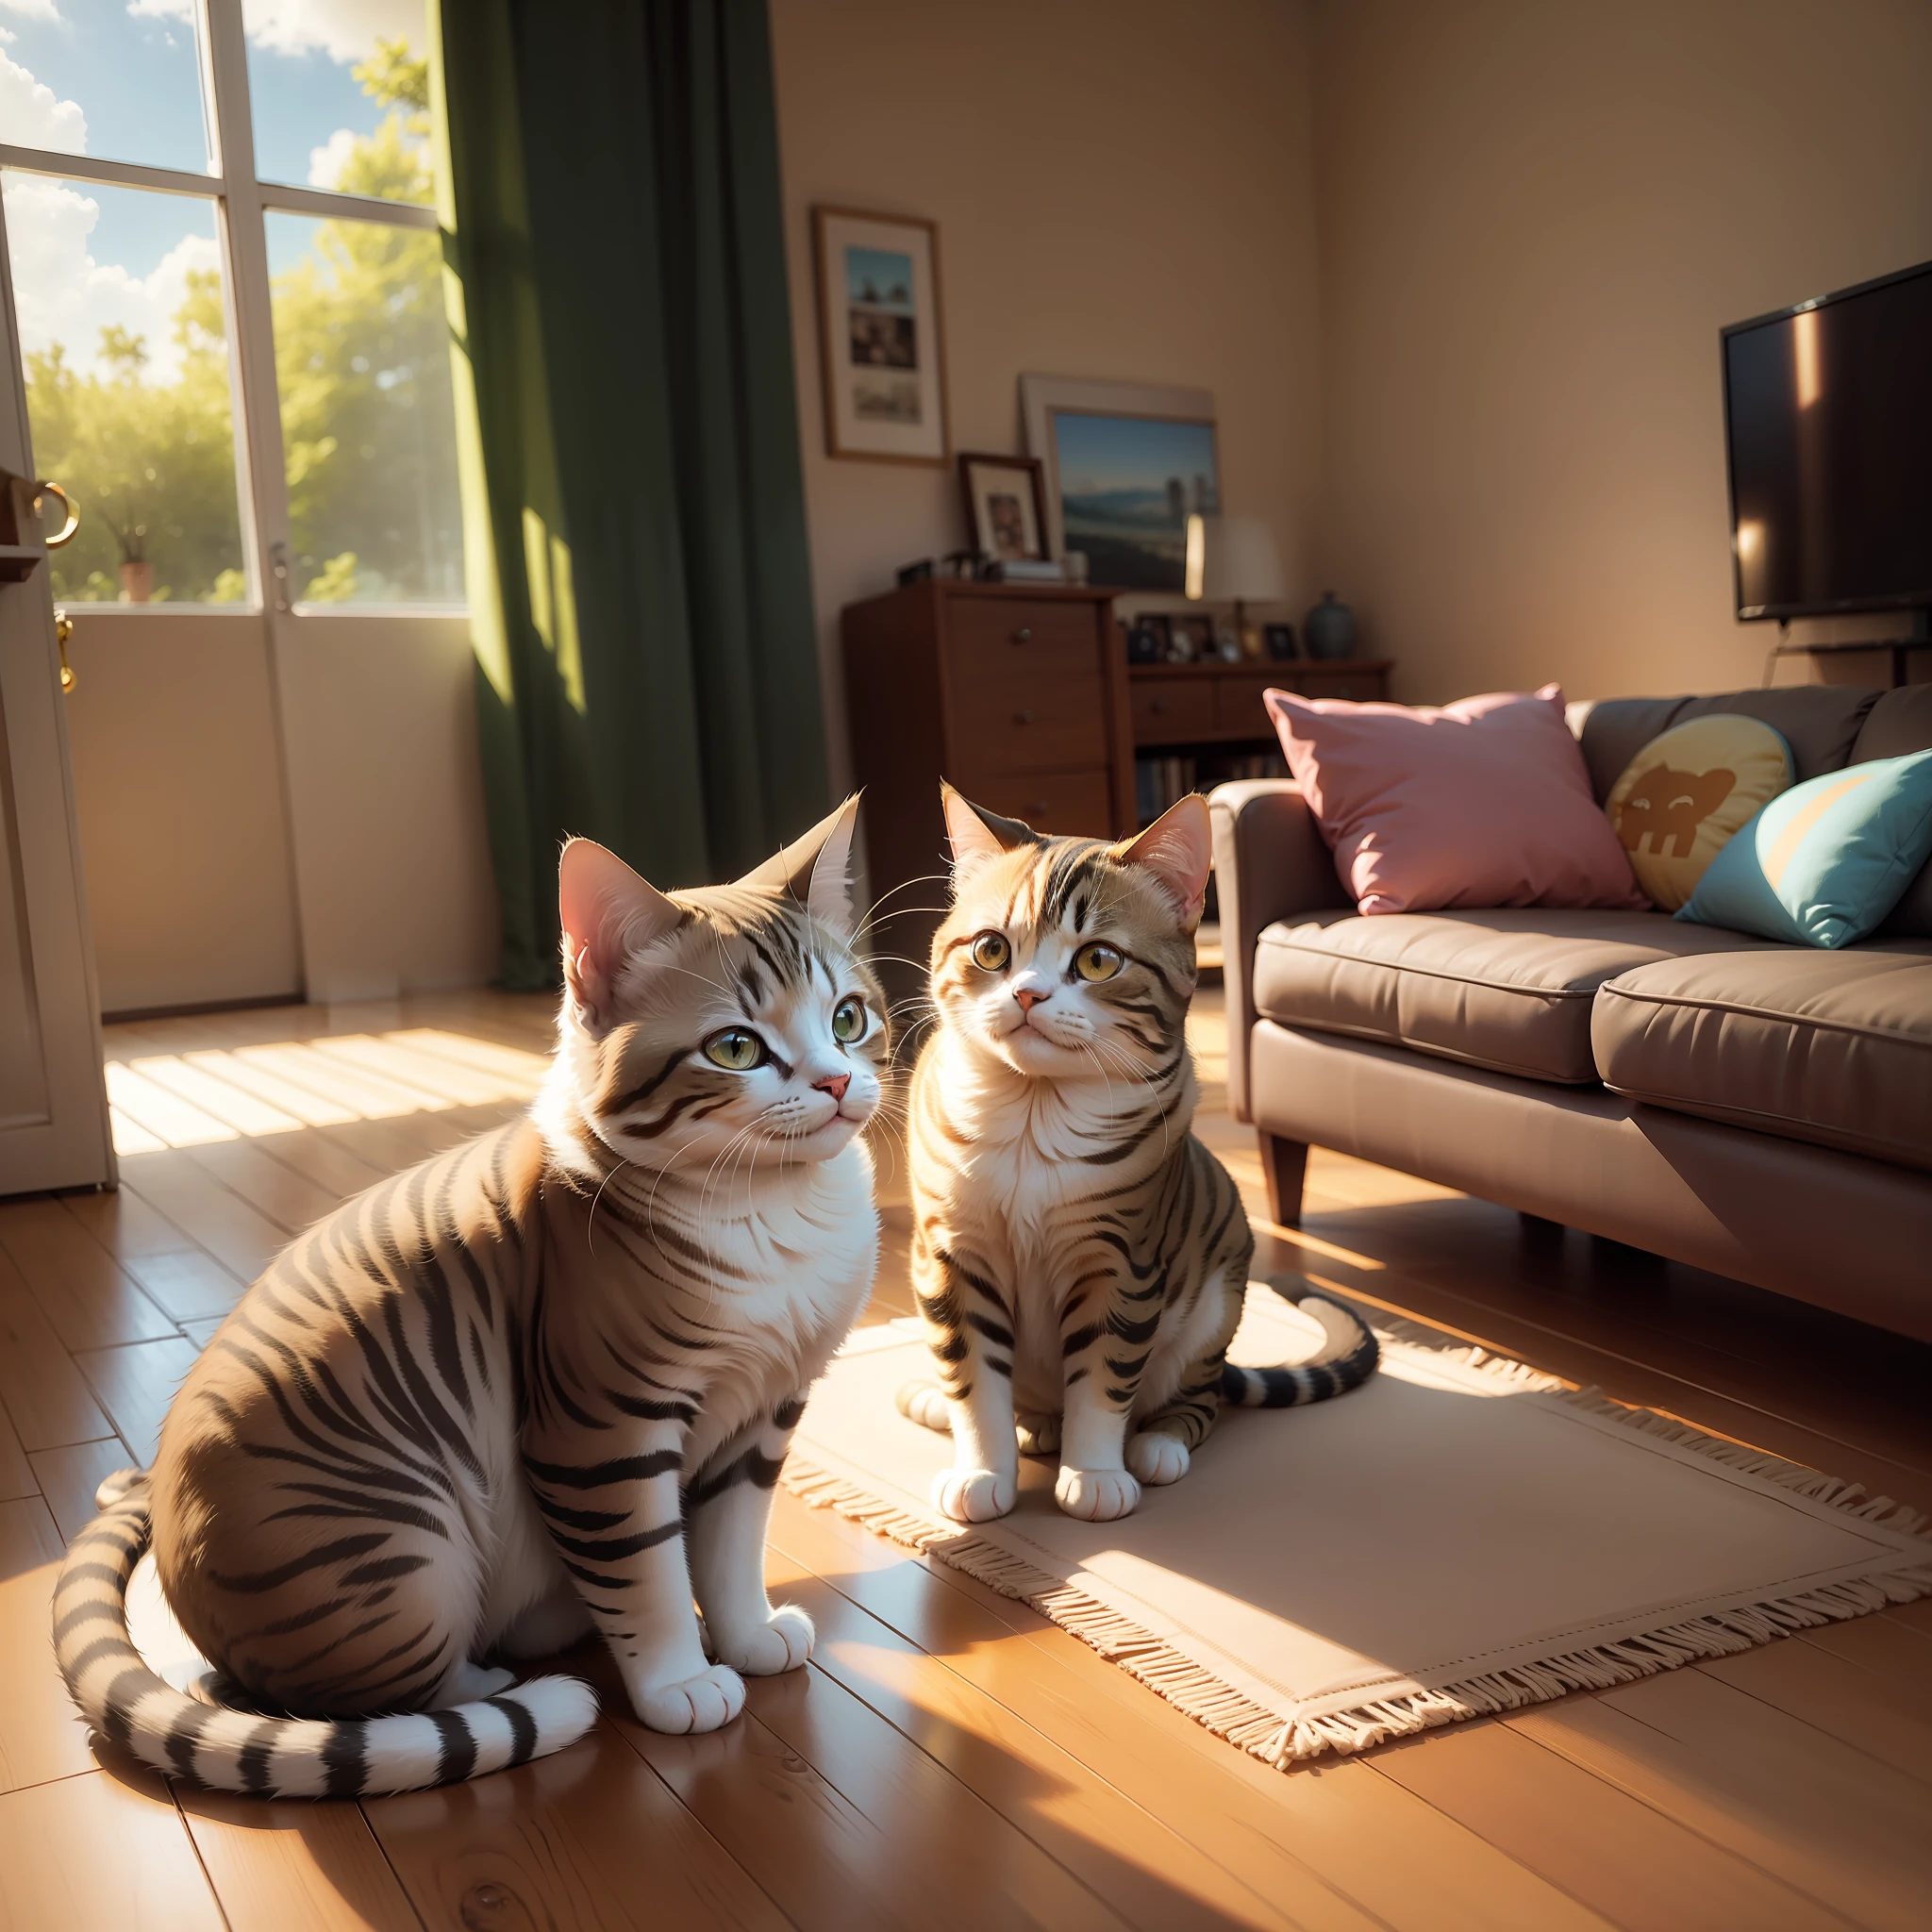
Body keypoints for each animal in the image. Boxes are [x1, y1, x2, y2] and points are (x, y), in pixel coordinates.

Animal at [58, 799, 889, 1792]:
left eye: (848, 1018)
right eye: (737, 1048)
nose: (837, 1082)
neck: (780, 1209)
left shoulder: (765, 1413)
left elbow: (729, 1545)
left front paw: (749, 1635)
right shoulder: (603, 1433)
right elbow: (647, 1571)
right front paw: (679, 1685)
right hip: (402, 1543)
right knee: (367, 1689)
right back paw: (510, 1674)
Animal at [900, 784, 1375, 1522]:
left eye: (1098, 960)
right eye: (990, 950)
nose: (1028, 993)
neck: (1034, 1113)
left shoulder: (1119, 1260)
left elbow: (1102, 1380)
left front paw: (1094, 1476)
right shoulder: (952, 1255)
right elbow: (974, 1379)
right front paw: (980, 1471)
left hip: (1217, 1300)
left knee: (1196, 1400)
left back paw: (1158, 1443)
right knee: (1011, 1401)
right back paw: (974, 1412)